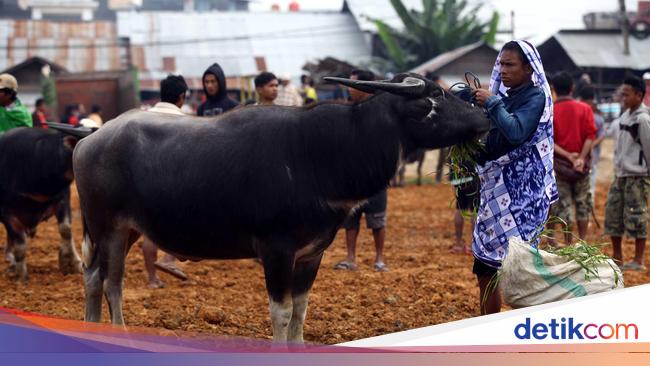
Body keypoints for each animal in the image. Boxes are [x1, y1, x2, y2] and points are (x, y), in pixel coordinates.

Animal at [0, 127, 85, 282]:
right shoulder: (6, 213)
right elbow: (20, 244)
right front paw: (21, 276)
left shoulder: (63, 197)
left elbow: (66, 230)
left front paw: (71, 262)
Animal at [73, 73, 488, 344]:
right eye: (434, 98)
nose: (484, 117)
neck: (322, 154)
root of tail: (88, 140)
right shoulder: (276, 250)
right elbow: (282, 311)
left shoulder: (311, 253)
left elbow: (301, 309)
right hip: (109, 227)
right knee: (111, 283)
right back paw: (118, 334)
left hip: (126, 230)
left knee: (92, 278)